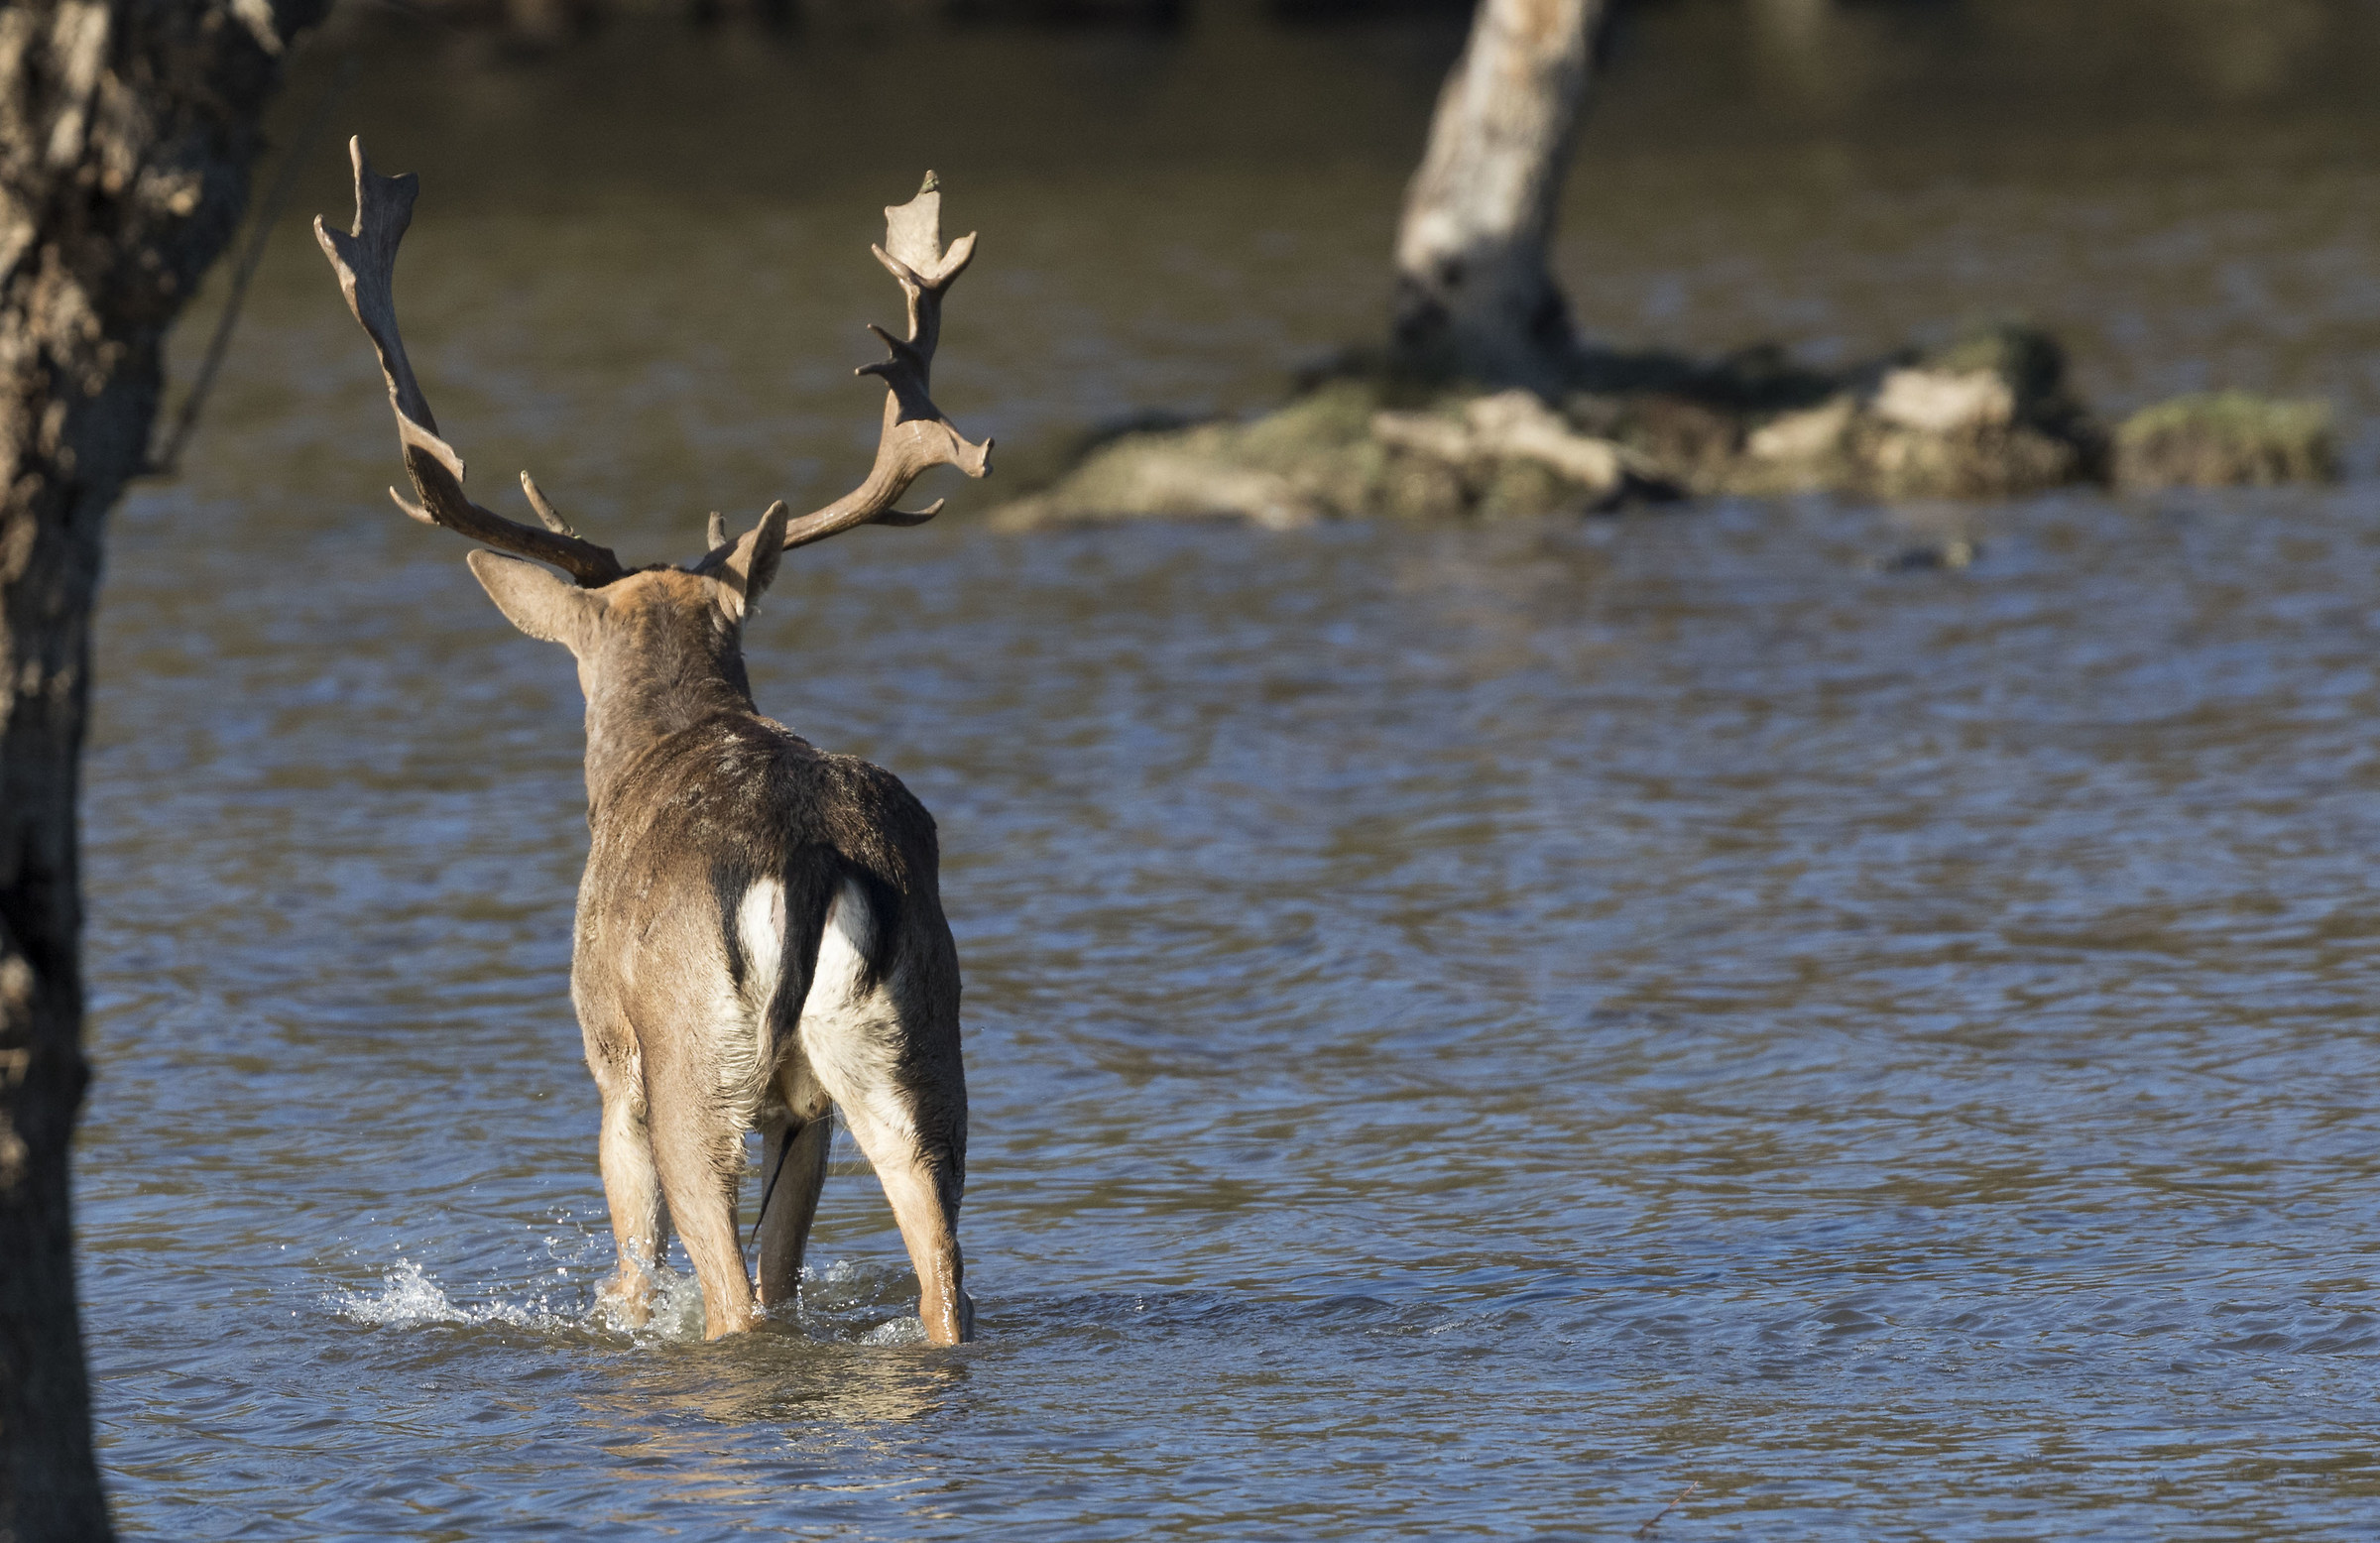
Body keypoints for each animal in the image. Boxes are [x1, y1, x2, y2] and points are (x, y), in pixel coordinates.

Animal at [316, 138, 987, 1345]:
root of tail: (807, 858)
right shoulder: (806, 1112)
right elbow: (790, 1264)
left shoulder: (606, 1061)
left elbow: (636, 1262)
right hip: (912, 1046)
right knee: (939, 1274)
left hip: (689, 1070)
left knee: (728, 1297)